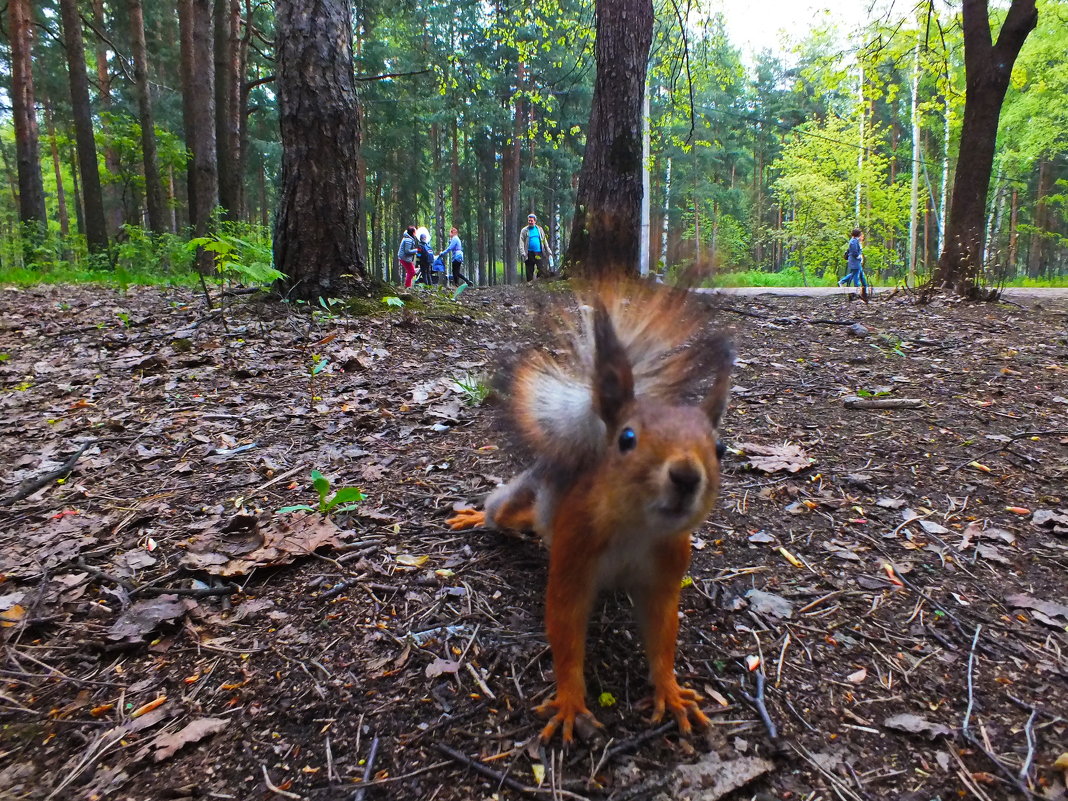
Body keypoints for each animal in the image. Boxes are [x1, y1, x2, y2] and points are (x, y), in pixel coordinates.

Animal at [444, 281, 734, 747]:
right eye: (627, 438)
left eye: (720, 448)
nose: (687, 476)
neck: (636, 529)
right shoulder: (574, 552)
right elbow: (564, 625)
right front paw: (569, 703)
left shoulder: (667, 569)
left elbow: (662, 634)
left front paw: (670, 691)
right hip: (525, 495)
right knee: (503, 510)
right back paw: (477, 517)